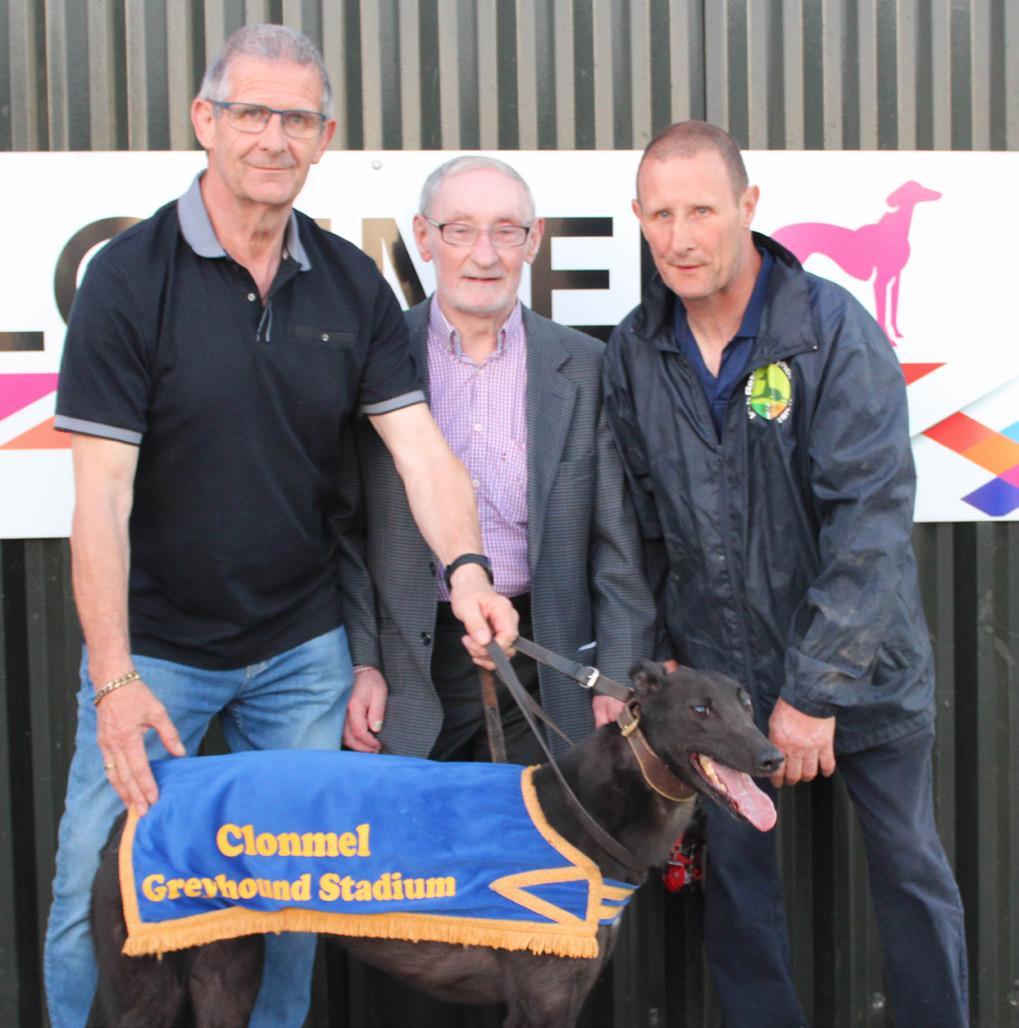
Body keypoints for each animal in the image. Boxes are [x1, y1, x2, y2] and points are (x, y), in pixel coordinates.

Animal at [89, 661, 783, 1028]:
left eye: (745, 703)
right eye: (699, 709)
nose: (773, 758)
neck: (587, 810)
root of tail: (142, 795)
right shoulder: (541, 1003)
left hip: (224, 967)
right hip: (144, 984)